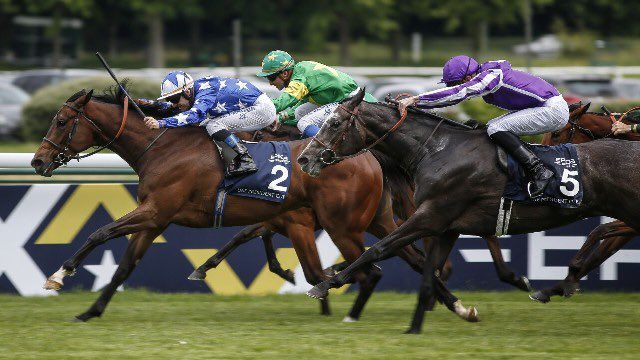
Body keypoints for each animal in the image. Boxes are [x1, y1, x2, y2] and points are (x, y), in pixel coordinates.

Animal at [31, 86, 420, 322]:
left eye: (61, 121)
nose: (37, 161)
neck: (163, 146)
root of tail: (366, 154)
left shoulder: (155, 210)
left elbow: (100, 232)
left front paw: (59, 275)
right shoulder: (156, 218)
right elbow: (123, 267)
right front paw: (90, 311)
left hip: (342, 226)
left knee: (371, 270)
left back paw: (351, 313)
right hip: (373, 221)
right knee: (397, 256)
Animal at [528, 102, 640, 302]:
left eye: (556, 133)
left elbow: (599, 231)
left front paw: (572, 271)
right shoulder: (630, 216)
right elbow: (602, 251)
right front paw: (555, 288)